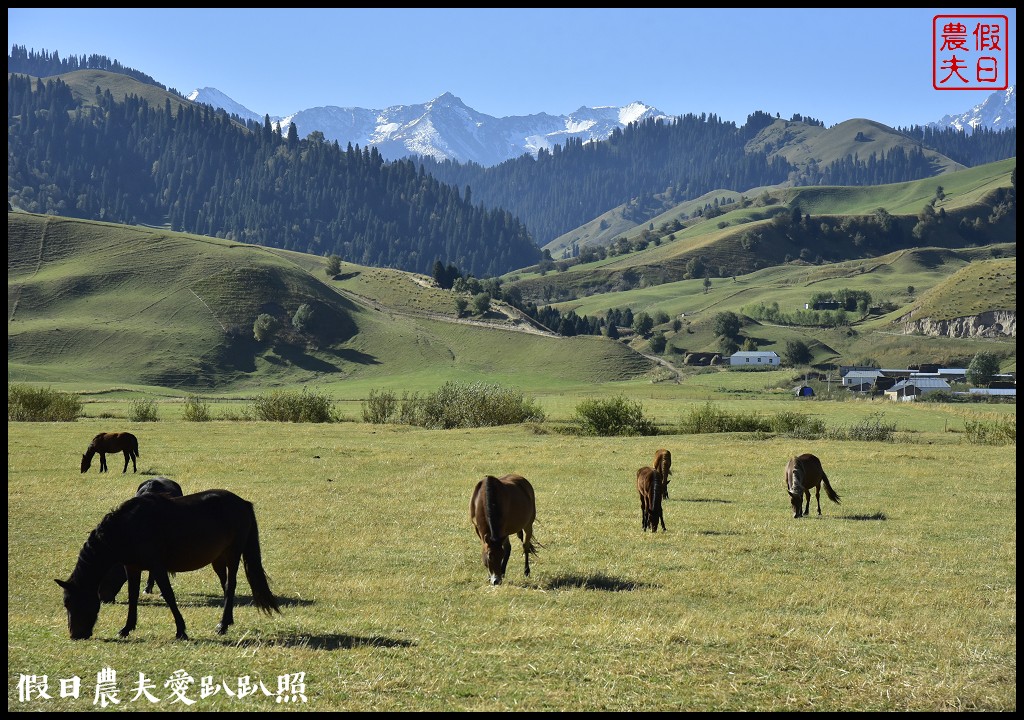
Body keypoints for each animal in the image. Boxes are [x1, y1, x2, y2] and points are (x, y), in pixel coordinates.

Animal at [55, 489, 280, 643]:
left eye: (72, 603)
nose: (75, 635)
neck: (128, 528)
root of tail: (243, 503)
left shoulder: (157, 567)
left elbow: (169, 596)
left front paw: (181, 631)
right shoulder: (133, 567)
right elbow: (133, 597)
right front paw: (126, 628)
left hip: (233, 555)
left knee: (230, 585)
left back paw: (222, 625)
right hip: (218, 559)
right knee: (226, 587)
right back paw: (227, 621)